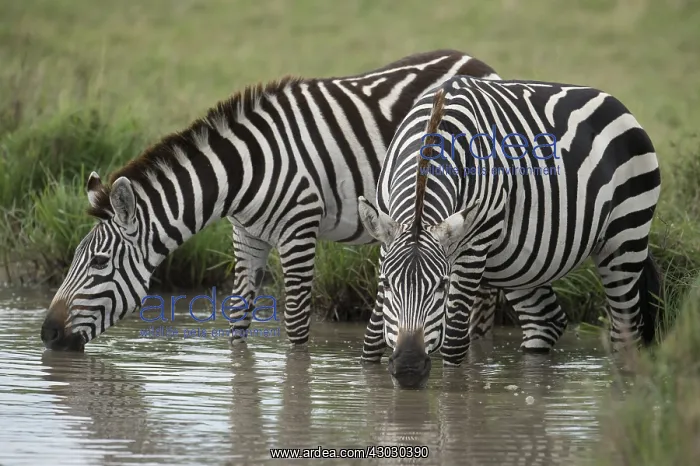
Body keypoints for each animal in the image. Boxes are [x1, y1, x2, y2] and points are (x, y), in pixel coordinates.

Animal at [39, 50, 503, 351]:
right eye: (75, 257)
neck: (243, 172)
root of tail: (480, 63)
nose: (46, 334)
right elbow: (238, 316)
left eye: (99, 263)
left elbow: (296, 327)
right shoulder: (247, 236)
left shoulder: (299, 231)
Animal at [357, 76, 663, 388]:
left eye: (442, 285)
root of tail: (617, 103)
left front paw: (453, 391)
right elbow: (371, 343)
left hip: (625, 237)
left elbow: (454, 343)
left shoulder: (474, 248)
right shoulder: (386, 245)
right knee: (546, 322)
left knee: (625, 331)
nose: (409, 367)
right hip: (520, 265)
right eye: (385, 283)